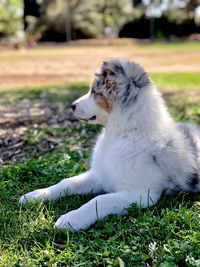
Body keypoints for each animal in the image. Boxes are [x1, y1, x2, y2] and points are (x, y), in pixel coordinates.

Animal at [19, 59, 200, 231]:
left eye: (96, 92)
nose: (72, 106)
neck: (125, 134)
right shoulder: (100, 175)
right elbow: (67, 182)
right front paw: (35, 195)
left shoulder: (140, 193)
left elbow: (100, 200)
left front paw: (71, 219)